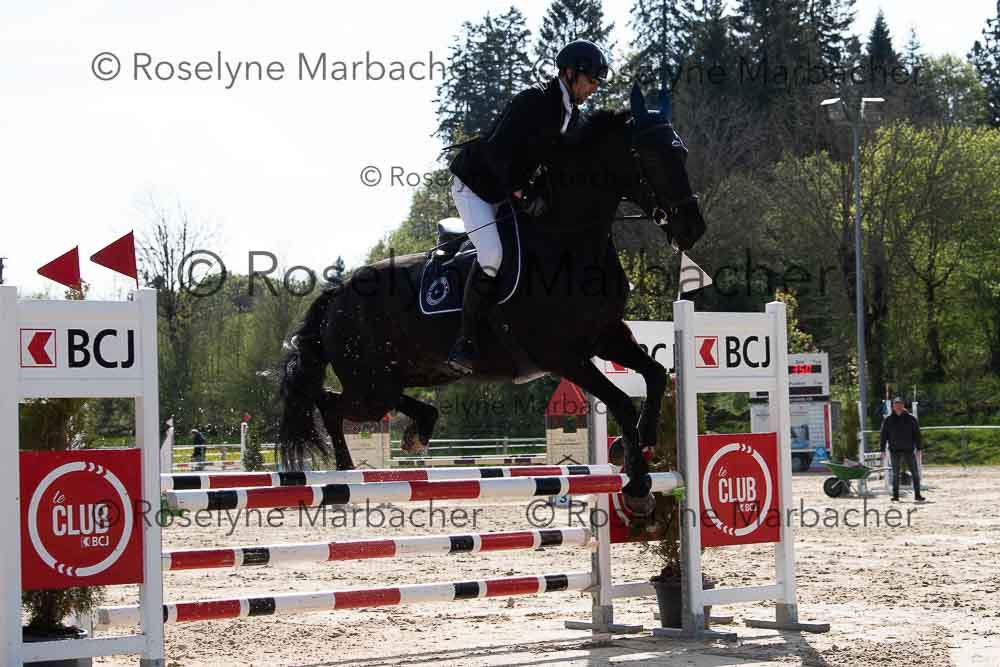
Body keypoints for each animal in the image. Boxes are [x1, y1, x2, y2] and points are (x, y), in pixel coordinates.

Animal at [277, 85, 706, 510]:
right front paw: (638, 482)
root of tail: (337, 295)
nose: (692, 229)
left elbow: (654, 374)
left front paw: (640, 445)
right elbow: (620, 401)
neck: (568, 240)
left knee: (383, 399)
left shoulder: (606, 336)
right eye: (650, 156)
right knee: (332, 404)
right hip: (370, 385)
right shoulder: (562, 355)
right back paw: (345, 476)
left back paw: (417, 430)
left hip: (411, 372)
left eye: (682, 153)